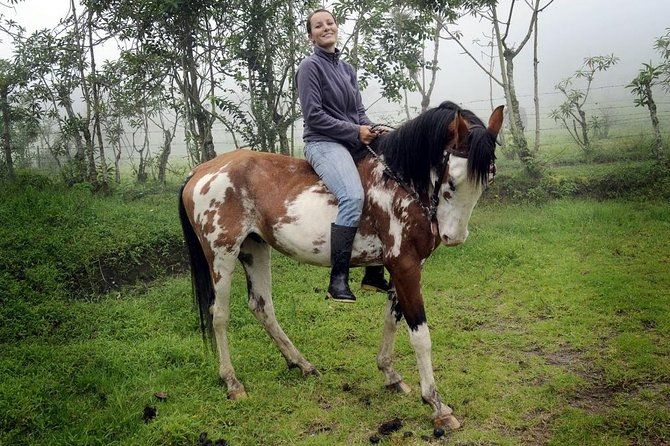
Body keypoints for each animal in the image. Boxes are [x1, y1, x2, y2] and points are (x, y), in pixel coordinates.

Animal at [178, 100, 504, 428]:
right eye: (452, 181)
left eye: (488, 178)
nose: (454, 237)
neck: (399, 182)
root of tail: (201, 171)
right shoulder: (405, 266)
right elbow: (420, 335)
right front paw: (437, 406)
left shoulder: (406, 268)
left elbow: (392, 320)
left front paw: (390, 374)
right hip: (223, 253)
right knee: (219, 314)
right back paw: (232, 382)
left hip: (254, 248)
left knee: (262, 306)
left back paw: (302, 364)